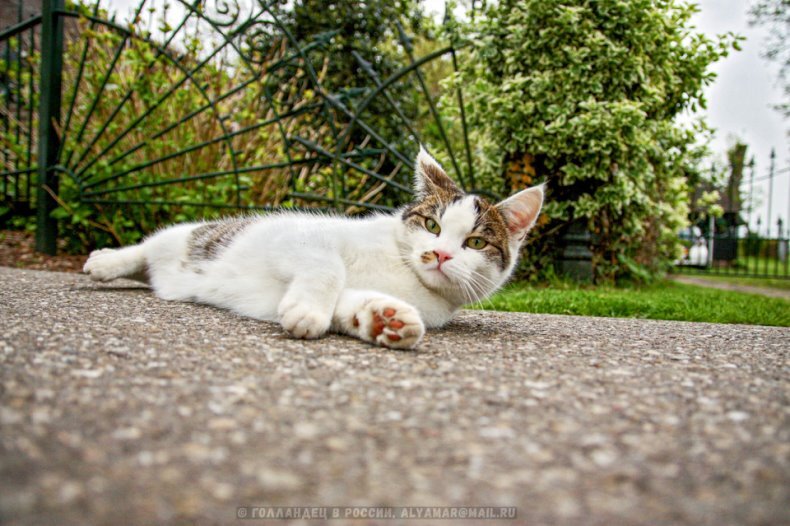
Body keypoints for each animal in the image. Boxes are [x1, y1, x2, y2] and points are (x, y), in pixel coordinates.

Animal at [85, 147, 544, 350]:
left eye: (476, 242)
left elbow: (348, 301)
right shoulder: (296, 236)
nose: (441, 255)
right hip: (190, 235)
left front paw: (383, 318)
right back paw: (106, 262)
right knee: (148, 247)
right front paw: (308, 310)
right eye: (432, 225)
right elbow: (327, 266)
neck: (403, 272)